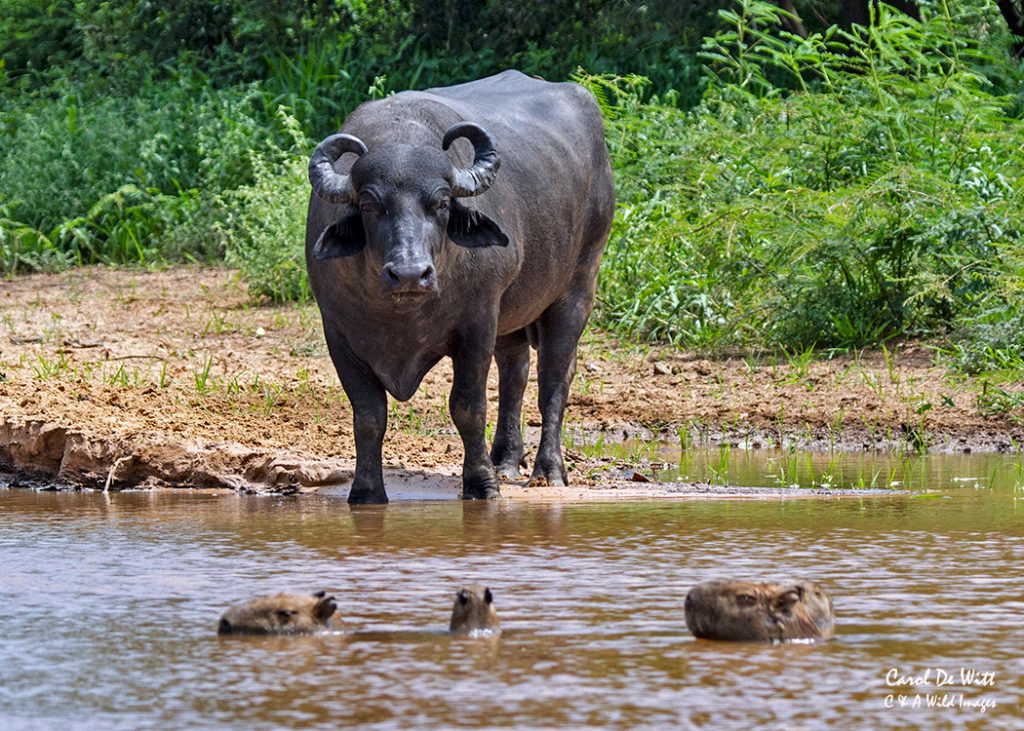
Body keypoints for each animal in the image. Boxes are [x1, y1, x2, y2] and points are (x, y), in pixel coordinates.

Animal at [305, 70, 615, 503]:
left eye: (441, 203)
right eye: (368, 205)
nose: (410, 273)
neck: (401, 313)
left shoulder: (477, 324)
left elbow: (469, 406)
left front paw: (481, 485)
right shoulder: (338, 333)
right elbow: (368, 414)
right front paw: (366, 492)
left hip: (579, 284)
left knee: (554, 378)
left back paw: (548, 469)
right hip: (511, 313)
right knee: (515, 373)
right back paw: (506, 459)